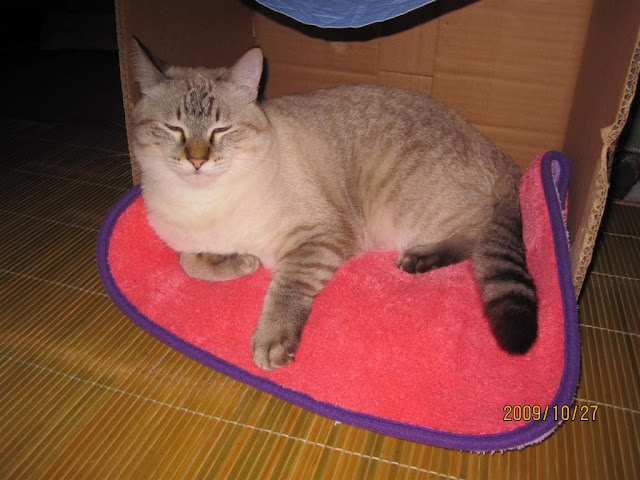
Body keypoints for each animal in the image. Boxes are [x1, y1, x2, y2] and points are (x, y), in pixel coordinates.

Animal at [130, 39, 538, 370]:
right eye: (174, 129)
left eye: (221, 131)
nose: (197, 161)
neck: (205, 202)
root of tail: (497, 151)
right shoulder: (186, 242)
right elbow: (190, 262)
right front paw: (241, 262)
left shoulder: (318, 237)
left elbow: (285, 289)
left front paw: (271, 342)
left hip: (409, 205)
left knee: (482, 232)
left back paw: (419, 258)